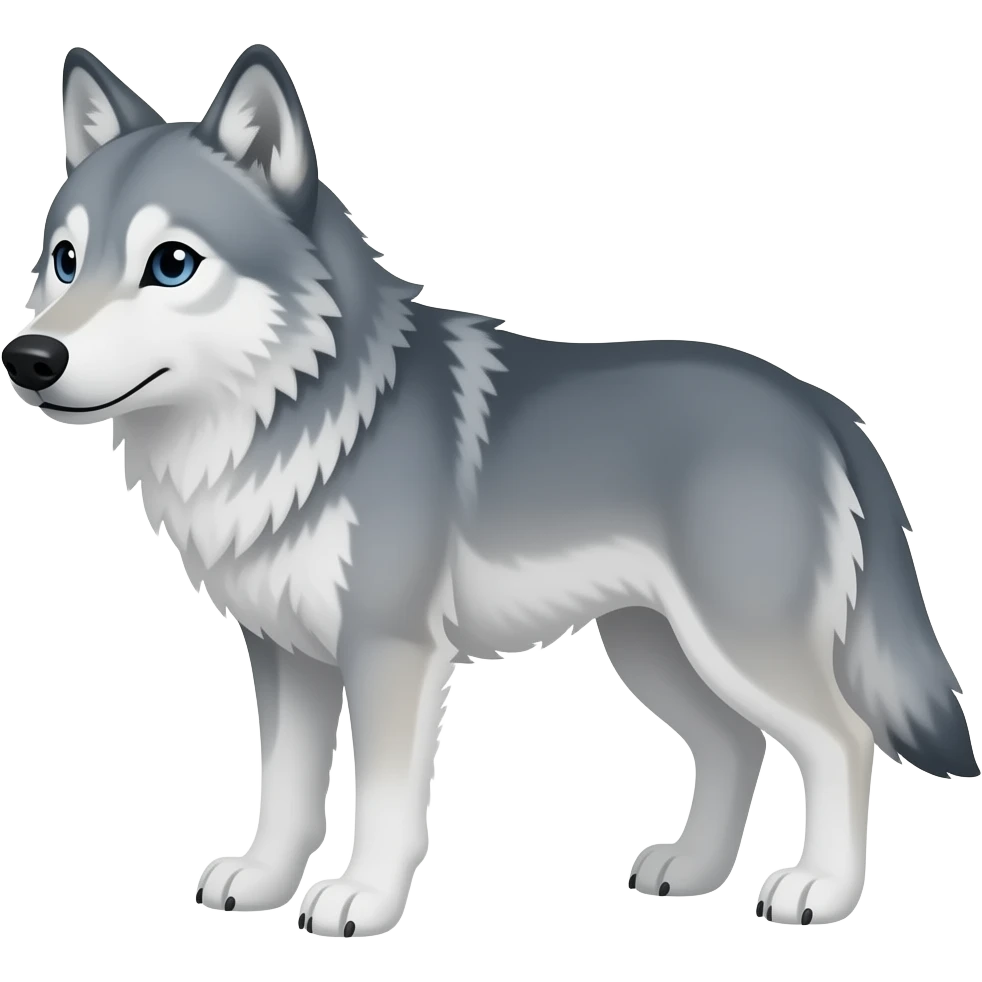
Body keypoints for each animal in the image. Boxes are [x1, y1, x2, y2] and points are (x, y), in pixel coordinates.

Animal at [4, 43, 977, 938]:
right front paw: (263, 881)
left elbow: (384, 802)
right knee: (737, 747)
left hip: (736, 646)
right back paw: (693, 871)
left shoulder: (390, 653)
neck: (292, 417)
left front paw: (362, 899)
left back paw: (822, 891)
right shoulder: (284, 655)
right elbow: (284, 789)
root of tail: (820, 403)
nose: (29, 358)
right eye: (64, 259)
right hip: (655, 650)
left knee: (842, 742)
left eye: (171, 264)